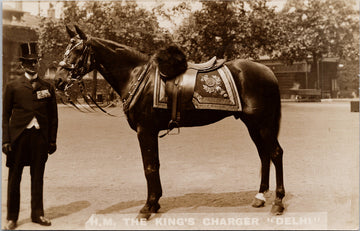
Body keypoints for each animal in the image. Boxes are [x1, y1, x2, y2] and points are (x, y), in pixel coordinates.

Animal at [54, 25, 286, 218]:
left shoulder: (145, 130)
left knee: (275, 153)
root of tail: (267, 71)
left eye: (77, 50)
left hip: (263, 124)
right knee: (264, 155)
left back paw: (278, 202)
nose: (58, 80)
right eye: (65, 50)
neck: (138, 76)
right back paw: (260, 197)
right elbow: (154, 164)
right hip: (253, 125)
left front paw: (147, 207)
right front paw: (155, 202)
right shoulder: (150, 132)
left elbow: (149, 166)